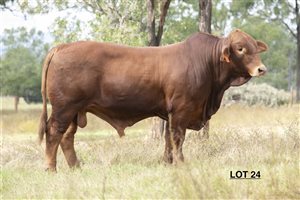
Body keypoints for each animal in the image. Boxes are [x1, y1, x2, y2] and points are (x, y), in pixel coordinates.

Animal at [39, 29, 268, 170]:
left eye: (254, 47)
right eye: (240, 48)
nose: (261, 69)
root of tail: (62, 47)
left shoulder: (170, 114)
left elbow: (168, 139)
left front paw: (167, 162)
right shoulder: (181, 110)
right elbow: (177, 138)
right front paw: (181, 163)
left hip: (74, 111)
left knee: (67, 137)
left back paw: (76, 166)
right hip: (64, 108)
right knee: (54, 132)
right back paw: (50, 168)